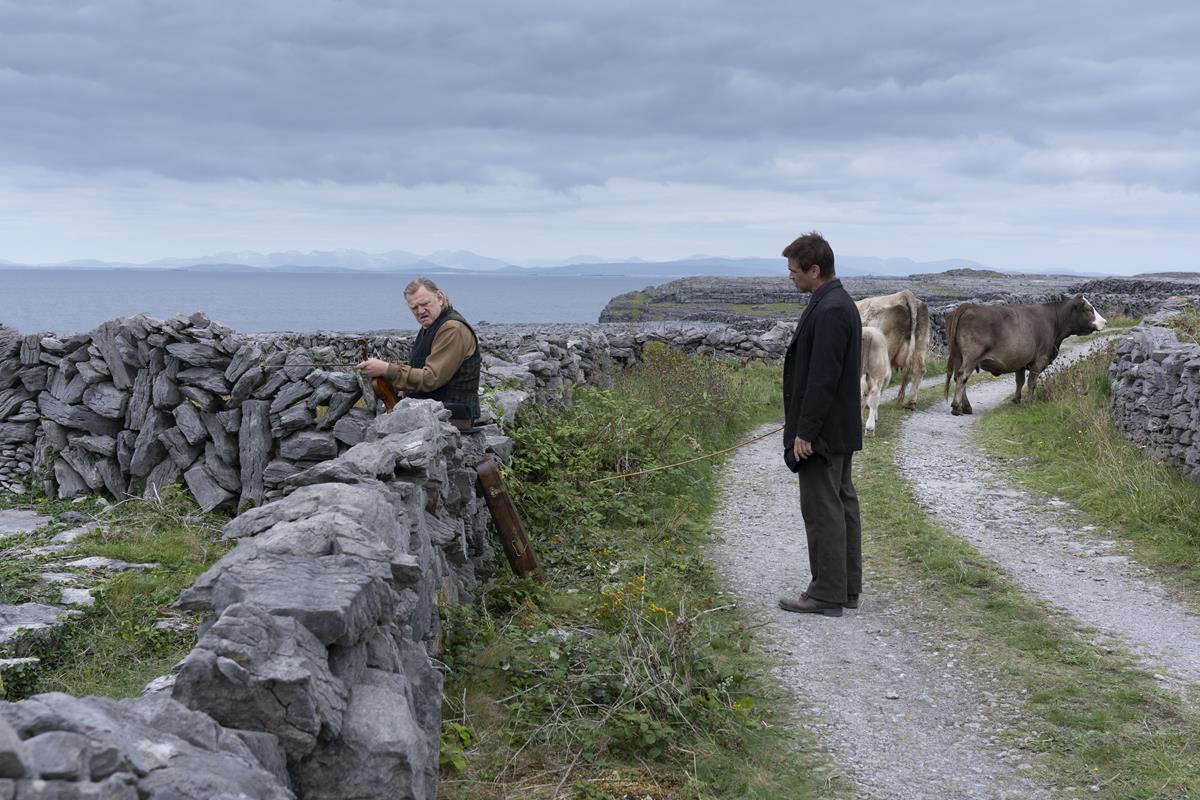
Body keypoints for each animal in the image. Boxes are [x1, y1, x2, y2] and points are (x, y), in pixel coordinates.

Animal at [945, 297, 1104, 417]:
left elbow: (1019, 381)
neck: (1053, 320)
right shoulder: (1040, 359)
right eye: (1089, 309)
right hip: (971, 357)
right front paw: (1029, 402)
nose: (1105, 322)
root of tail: (968, 306)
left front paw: (1016, 399)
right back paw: (956, 407)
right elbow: (1032, 382)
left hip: (958, 356)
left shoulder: (1020, 361)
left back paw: (966, 407)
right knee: (962, 376)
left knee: (958, 377)